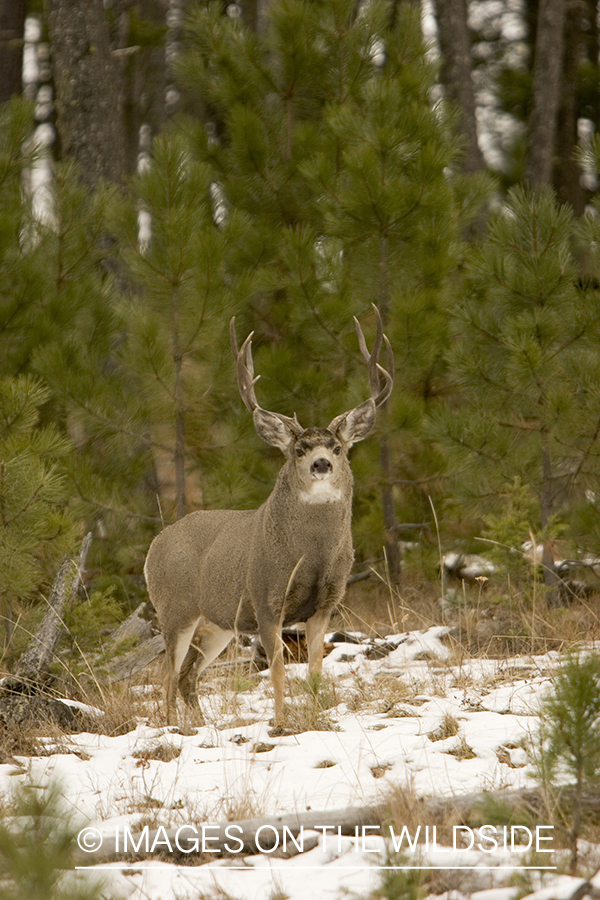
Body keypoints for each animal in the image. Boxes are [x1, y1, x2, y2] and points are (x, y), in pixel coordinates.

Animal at [145, 306, 394, 728]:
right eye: (298, 449)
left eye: (338, 447)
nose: (322, 464)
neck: (311, 557)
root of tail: (152, 548)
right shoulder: (265, 599)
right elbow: (277, 668)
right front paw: (280, 722)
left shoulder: (326, 604)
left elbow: (315, 668)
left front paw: (315, 716)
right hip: (175, 607)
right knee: (167, 676)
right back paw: (173, 727)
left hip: (218, 623)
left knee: (187, 675)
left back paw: (200, 725)